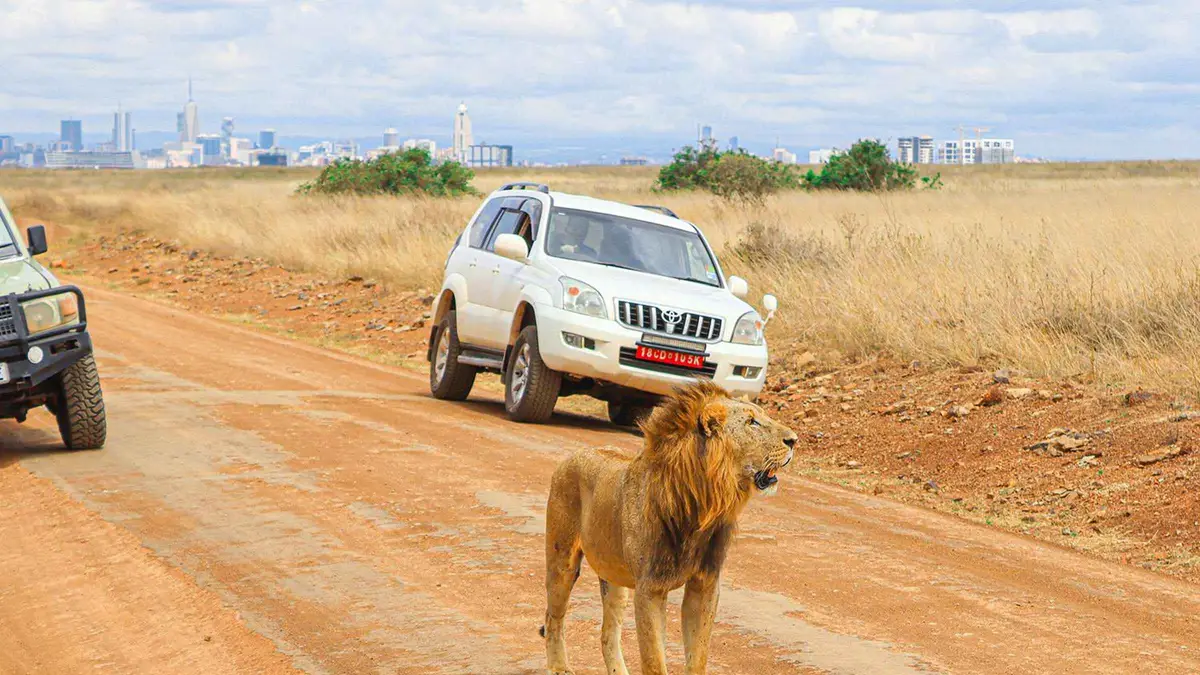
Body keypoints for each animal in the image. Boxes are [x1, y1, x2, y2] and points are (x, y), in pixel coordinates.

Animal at [541, 381, 798, 675]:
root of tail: (572, 456)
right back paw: (559, 667)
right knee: (552, 617)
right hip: (563, 563)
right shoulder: (650, 589)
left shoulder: (705, 584)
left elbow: (698, 657)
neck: (704, 506)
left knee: (608, 632)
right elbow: (654, 661)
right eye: (752, 422)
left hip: (614, 577)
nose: (794, 440)